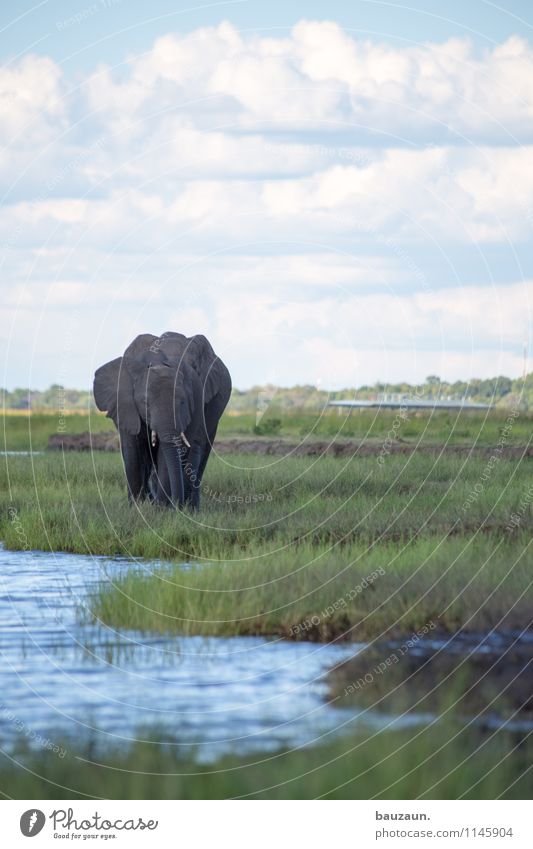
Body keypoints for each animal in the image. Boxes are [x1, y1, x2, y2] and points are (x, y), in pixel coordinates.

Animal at [93, 332, 231, 510]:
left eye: (183, 401)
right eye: (145, 402)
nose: (177, 505)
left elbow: (170, 451)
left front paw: (162, 509)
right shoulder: (124, 405)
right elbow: (133, 447)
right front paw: (138, 508)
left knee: (200, 451)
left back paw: (190, 508)